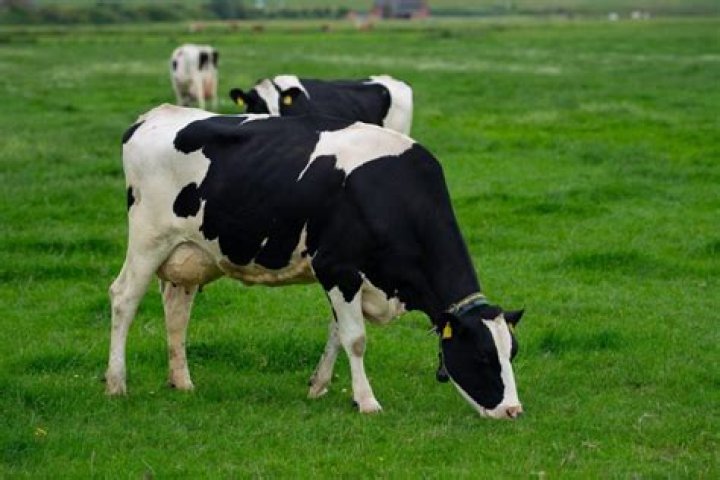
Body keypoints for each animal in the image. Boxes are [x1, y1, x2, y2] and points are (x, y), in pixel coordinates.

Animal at [106, 104, 524, 419]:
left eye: (512, 353)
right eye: (483, 356)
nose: (513, 410)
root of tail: (155, 114)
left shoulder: (350, 278)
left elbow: (337, 333)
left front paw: (320, 386)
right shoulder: (337, 268)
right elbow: (355, 338)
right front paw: (367, 402)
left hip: (188, 253)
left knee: (177, 308)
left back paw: (182, 381)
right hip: (148, 239)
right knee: (124, 298)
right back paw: (116, 382)